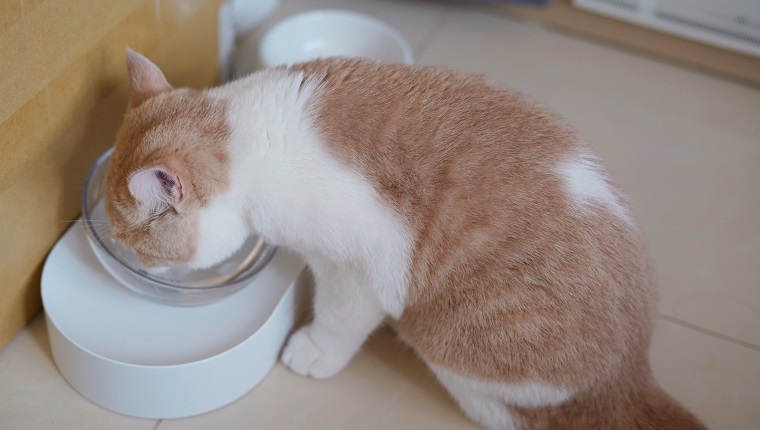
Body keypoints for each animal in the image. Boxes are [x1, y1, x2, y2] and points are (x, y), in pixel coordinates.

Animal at [105, 50, 708, 430]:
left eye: (139, 247)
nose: (140, 267)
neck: (255, 136)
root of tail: (634, 372)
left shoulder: (359, 271)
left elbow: (339, 319)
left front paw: (315, 349)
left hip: (443, 335)